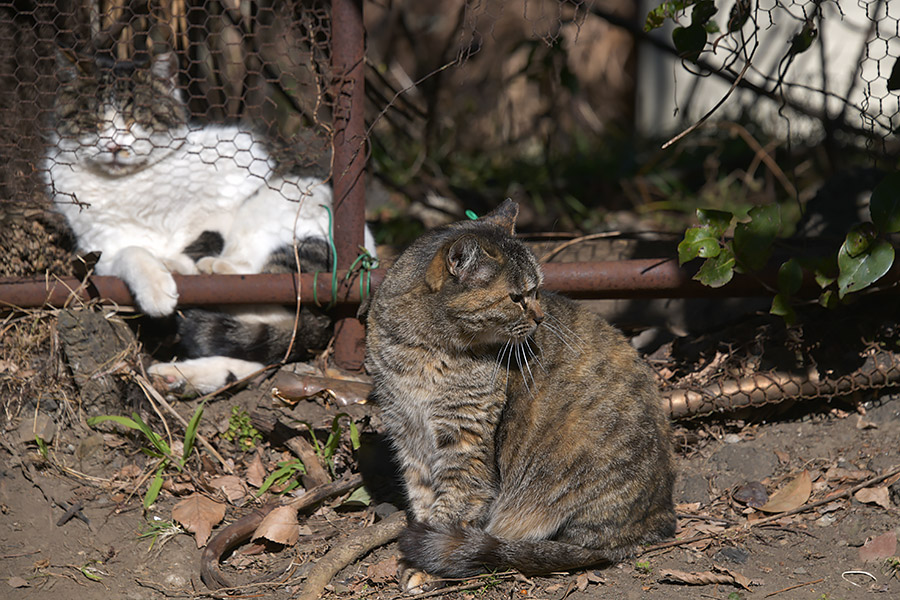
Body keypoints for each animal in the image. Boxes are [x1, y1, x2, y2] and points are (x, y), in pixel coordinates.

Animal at [44, 49, 374, 392]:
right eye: (94, 123)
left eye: (136, 118)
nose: (114, 146)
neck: (132, 187)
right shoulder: (99, 252)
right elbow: (132, 252)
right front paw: (157, 286)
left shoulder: (232, 182)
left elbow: (204, 238)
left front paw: (176, 269)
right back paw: (180, 373)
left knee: (276, 298)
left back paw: (212, 270)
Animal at [366, 202, 676, 580]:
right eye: (517, 298)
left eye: (538, 290)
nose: (541, 318)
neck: (424, 354)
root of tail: (660, 514)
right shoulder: (407, 433)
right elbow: (422, 496)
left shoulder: (466, 440)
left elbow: (452, 506)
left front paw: (423, 565)